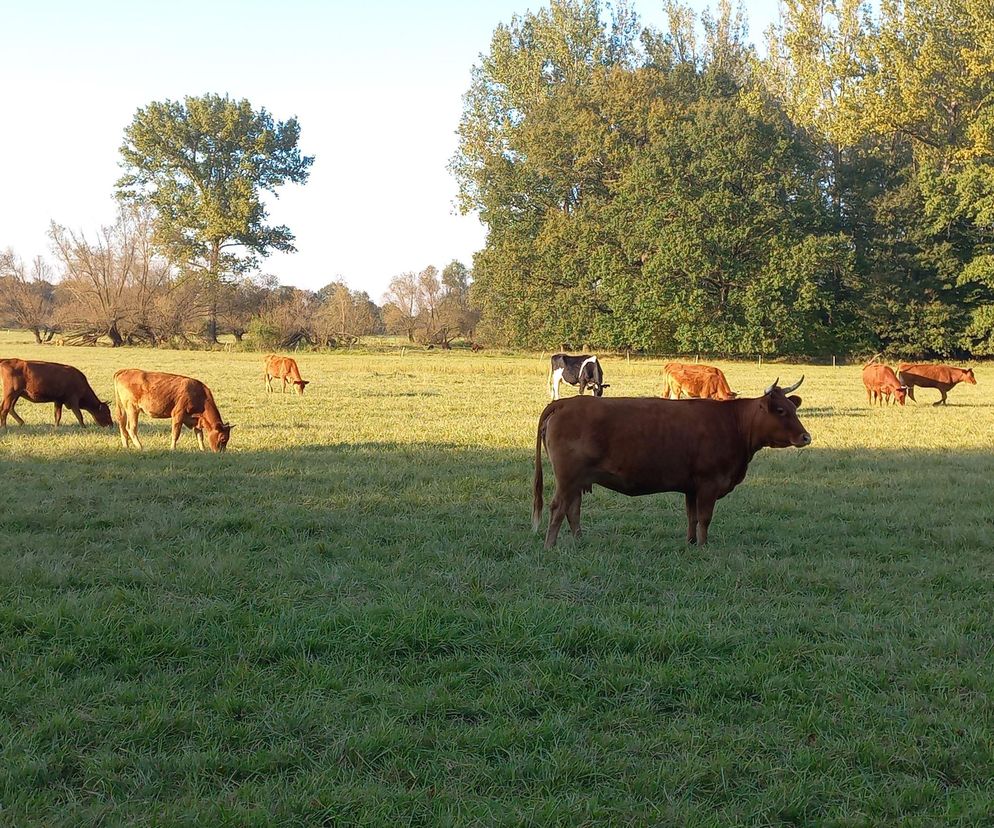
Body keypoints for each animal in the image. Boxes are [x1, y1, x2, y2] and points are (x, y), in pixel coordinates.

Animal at [536, 376, 808, 548]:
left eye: (793, 408)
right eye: (781, 411)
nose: (807, 437)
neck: (734, 423)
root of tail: (565, 402)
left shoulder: (692, 487)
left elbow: (692, 517)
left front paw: (690, 543)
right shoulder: (709, 483)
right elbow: (705, 517)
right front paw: (703, 546)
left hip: (577, 480)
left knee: (573, 509)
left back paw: (579, 541)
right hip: (568, 478)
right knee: (558, 508)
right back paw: (550, 546)